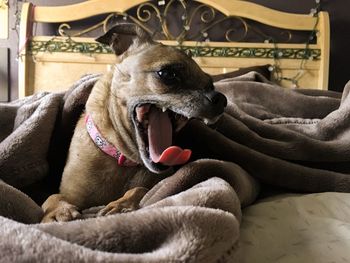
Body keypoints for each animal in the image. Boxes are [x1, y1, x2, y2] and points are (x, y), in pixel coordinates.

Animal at [41, 24, 227, 223]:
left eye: (210, 85)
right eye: (168, 74)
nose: (221, 99)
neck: (123, 158)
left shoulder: (159, 184)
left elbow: (140, 190)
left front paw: (121, 204)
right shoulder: (70, 193)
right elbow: (52, 197)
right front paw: (58, 211)